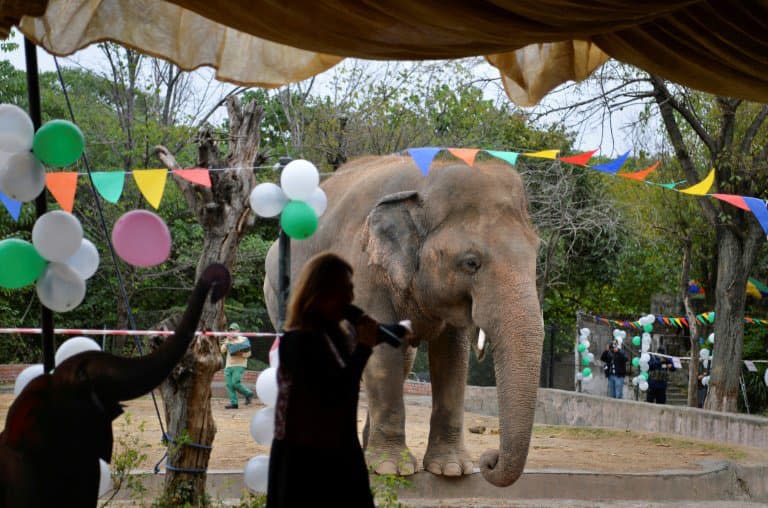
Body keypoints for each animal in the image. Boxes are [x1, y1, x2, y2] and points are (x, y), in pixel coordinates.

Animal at [268, 157, 544, 486]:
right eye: (471, 263)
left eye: (537, 255)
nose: (489, 459)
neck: (427, 178)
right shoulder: (364, 270)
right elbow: (383, 354)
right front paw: (392, 469)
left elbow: (452, 357)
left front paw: (451, 469)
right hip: (277, 294)